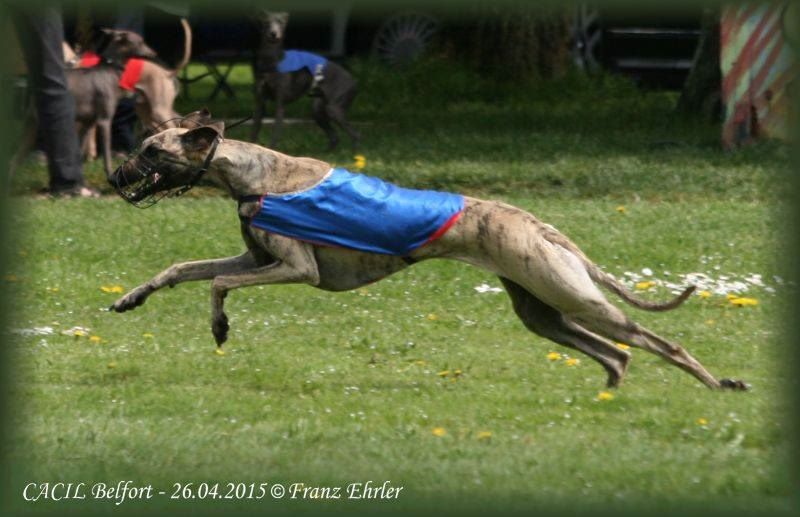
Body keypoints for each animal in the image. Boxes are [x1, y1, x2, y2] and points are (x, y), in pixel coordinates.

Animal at [108, 110, 752, 392]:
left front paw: (219, 328)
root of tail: (541, 226)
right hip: (540, 309)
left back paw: (718, 384)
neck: (256, 176)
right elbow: (184, 268)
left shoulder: (293, 268)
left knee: (658, 341)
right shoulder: (255, 259)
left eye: (151, 150)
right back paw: (608, 395)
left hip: (572, 295)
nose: (114, 177)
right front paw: (131, 298)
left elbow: (218, 283)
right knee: (615, 355)